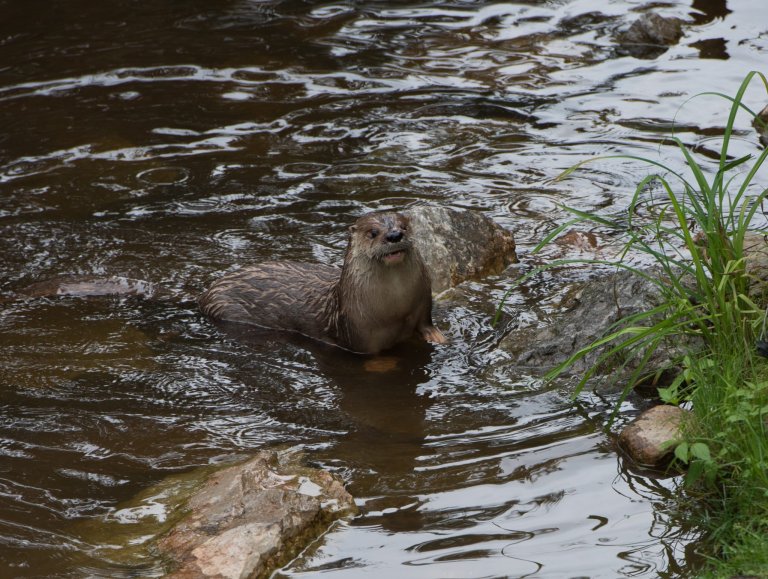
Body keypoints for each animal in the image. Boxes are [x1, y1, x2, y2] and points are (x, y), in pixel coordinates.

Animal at [198, 212, 448, 354]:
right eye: (373, 232)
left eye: (404, 227)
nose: (394, 235)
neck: (396, 306)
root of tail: (206, 294)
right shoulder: (360, 334)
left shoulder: (422, 301)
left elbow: (425, 322)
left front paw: (438, 337)